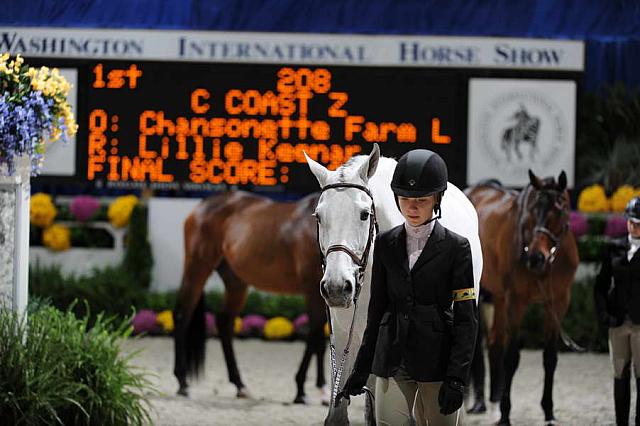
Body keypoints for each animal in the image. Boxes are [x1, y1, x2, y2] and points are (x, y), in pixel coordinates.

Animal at [172, 190, 328, 402]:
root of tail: (201, 206)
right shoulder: (313, 291)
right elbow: (315, 336)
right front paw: (302, 390)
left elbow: (321, 338)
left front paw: (322, 389)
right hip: (197, 267)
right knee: (183, 315)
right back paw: (182, 383)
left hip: (236, 283)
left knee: (224, 323)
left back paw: (240, 385)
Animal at [464, 171, 580, 426]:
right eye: (532, 211)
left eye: (560, 209)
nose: (535, 258)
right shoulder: (515, 301)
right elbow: (512, 357)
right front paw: (506, 414)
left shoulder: (557, 303)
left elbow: (550, 358)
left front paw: (549, 412)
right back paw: (477, 403)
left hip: (498, 298)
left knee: (494, 344)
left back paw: (493, 406)